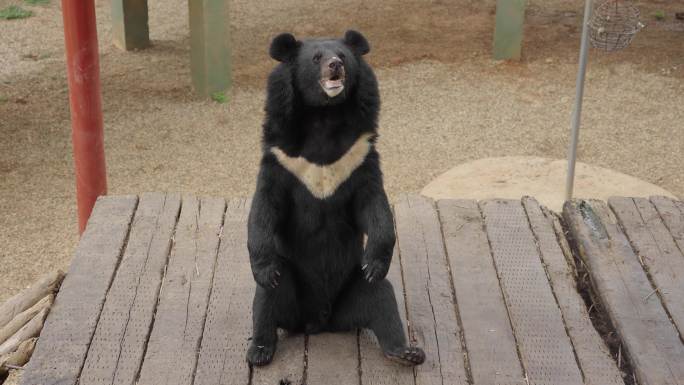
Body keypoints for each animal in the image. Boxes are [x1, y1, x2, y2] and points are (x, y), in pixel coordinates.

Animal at [248, 29, 424, 366]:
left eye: (342, 56)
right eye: (316, 58)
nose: (335, 66)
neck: (324, 117)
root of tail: (321, 319)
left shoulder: (359, 153)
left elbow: (373, 204)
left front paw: (375, 262)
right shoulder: (281, 157)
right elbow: (265, 206)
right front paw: (263, 267)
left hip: (354, 291)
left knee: (382, 298)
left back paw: (406, 352)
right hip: (292, 292)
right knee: (268, 297)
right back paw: (259, 351)